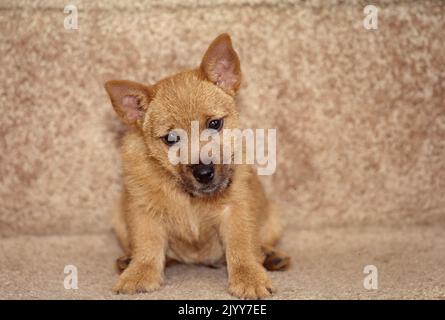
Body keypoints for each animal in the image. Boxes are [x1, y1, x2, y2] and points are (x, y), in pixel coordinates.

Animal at [105, 33, 290, 298]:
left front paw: (249, 278)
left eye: (214, 124)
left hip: (273, 216)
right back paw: (127, 260)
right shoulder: (143, 210)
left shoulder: (236, 208)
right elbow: (147, 247)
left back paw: (271, 256)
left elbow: (242, 246)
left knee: (260, 243)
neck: (188, 197)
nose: (204, 173)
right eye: (171, 138)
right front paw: (138, 274)